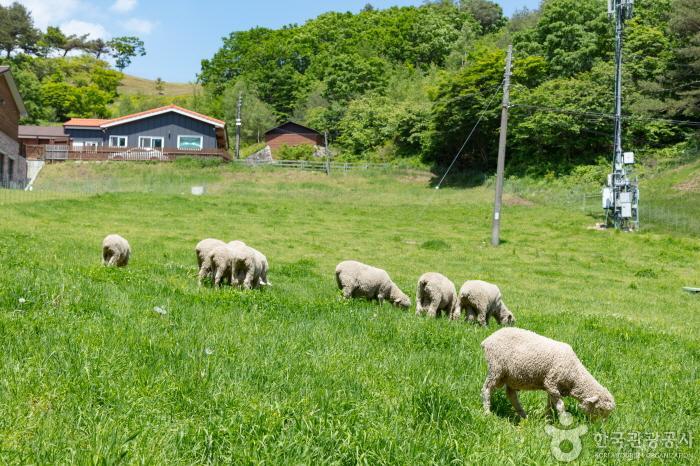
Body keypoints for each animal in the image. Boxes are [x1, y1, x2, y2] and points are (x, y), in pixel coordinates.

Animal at [478, 328, 616, 418]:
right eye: (600, 409)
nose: (598, 427)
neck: (574, 374)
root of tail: (488, 339)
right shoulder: (552, 382)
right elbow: (560, 405)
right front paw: (564, 419)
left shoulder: (552, 386)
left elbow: (550, 404)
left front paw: (547, 418)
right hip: (496, 368)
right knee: (487, 389)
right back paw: (487, 412)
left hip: (511, 377)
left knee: (511, 395)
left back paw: (523, 415)